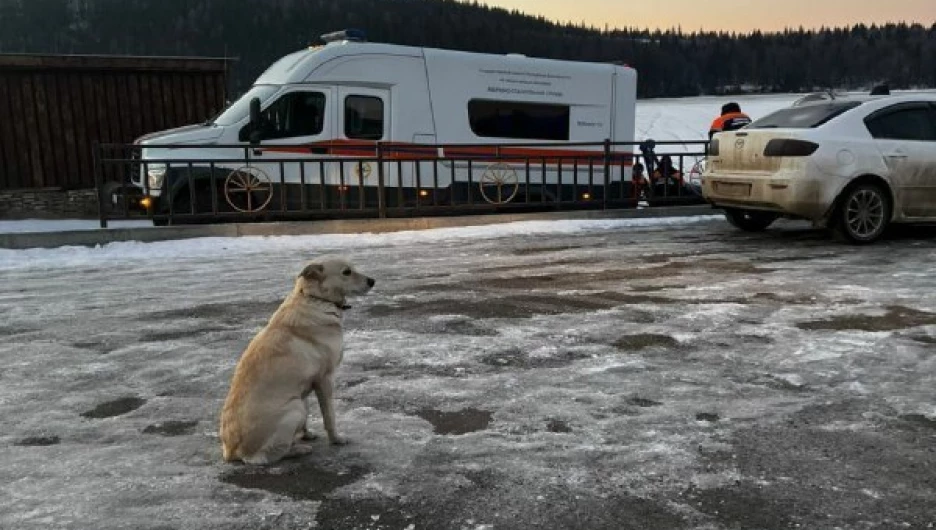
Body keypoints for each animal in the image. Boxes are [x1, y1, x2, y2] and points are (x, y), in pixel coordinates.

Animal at [221, 255, 374, 462]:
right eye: (346, 272)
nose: (372, 281)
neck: (316, 299)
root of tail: (231, 451)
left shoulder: (307, 385)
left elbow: (309, 417)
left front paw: (306, 434)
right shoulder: (325, 379)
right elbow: (330, 417)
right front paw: (336, 439)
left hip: (298, 403)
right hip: (294, 409)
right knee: (265, 457)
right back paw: (298, 450)